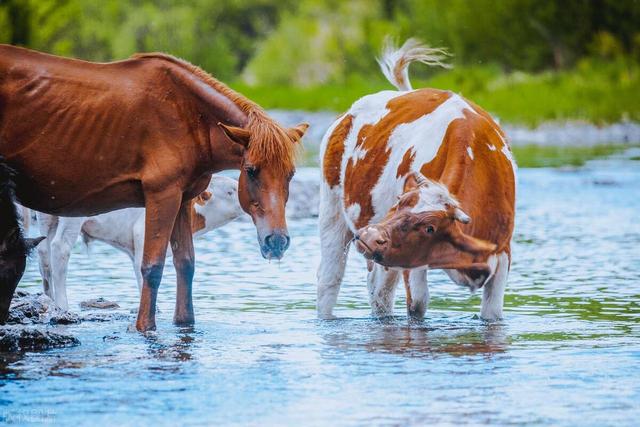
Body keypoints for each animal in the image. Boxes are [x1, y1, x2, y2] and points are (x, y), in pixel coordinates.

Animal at [37, 176, 242, 310]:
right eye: (230, 191)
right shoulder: (143, 234)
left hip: (45, 219)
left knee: (44, 254)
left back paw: (49, 299)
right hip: (72, 217)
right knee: (60, 248)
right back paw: (62, 305)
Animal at [318, 39, 516, 320]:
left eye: (429, 228)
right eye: (397, 203)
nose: (370, 236)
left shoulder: (503, 252)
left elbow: (493, 314)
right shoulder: (411, 262)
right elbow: (418, 305)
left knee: (379, 292)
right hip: (332, 210)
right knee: (330, 279)